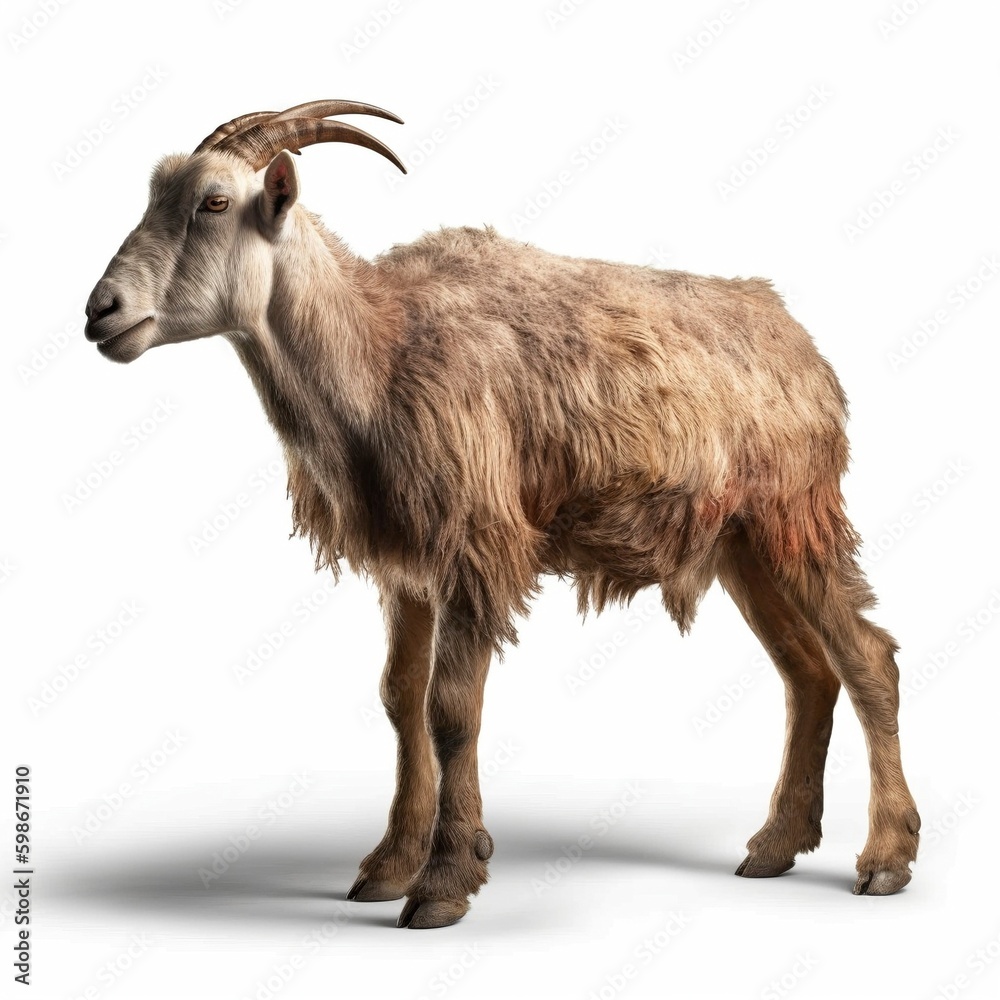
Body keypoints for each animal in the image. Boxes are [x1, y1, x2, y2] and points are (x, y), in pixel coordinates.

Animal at [84, 100, 920, 928]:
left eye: (214, 203)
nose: (101, 311)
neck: (380, 349)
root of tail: (803, 348)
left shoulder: (475, 545)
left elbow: (451, 708)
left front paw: (444, 880)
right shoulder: (408, 563)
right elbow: (400, 699)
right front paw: (388, 864)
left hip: (795, 517)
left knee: (867, 661)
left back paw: (885, 857)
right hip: (741, 545)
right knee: (809, 672)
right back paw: (776, 844)